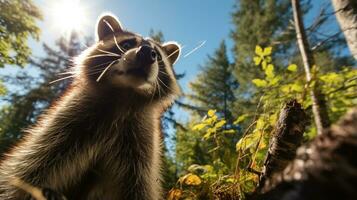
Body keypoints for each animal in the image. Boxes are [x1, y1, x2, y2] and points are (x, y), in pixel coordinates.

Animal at [0, 12, 179, 200]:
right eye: (127, 44)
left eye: (156, 54)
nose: (146, 53)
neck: (124, 95)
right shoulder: (69, 124)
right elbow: (29, 168)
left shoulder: (140, 146)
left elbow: (140, 187)